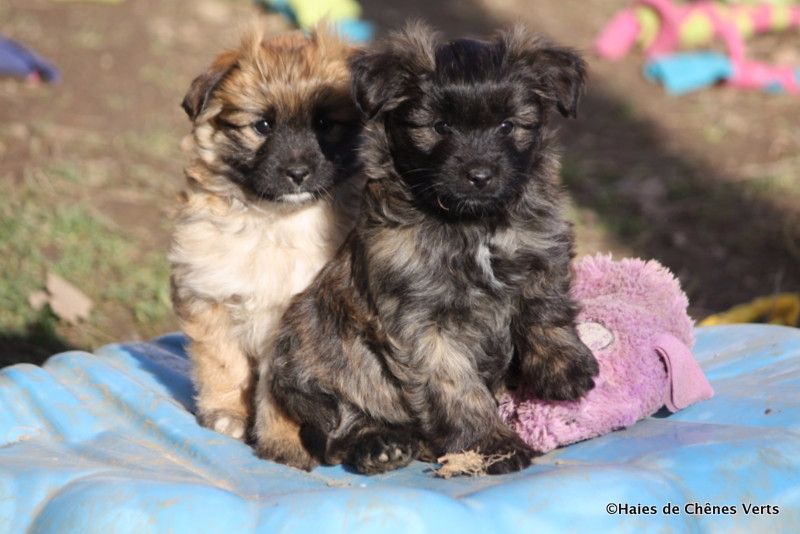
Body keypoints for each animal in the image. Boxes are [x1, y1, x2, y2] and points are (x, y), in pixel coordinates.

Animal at [172, 26, 366, 444]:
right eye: (262, 126)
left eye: (325, 124)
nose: (297, 173)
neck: (277, 223)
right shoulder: (207, 293)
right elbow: (222, 361)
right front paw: (226, 412)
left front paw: (282, 439)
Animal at [256, 24, 600, 478]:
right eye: (439, 126)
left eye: (508, 125)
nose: (480, 175)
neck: (472, 226)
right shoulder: (422, 323)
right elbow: (454, 384)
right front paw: (492, 444)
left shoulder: (542, 250)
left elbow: (548, 307)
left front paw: (565, 368)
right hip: (308, 342)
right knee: (337, 423)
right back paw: (379, 446)